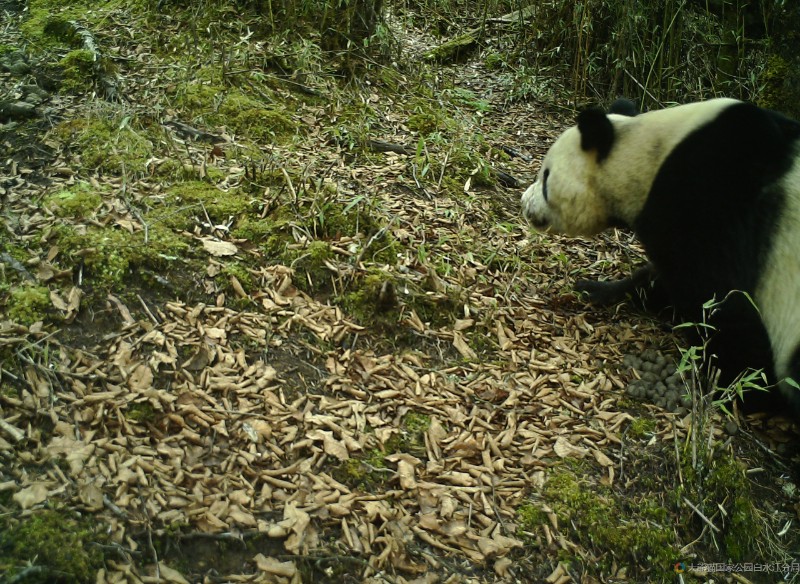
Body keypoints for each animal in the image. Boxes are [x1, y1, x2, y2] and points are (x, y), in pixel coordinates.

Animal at [520, 99, 800, 410]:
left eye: (546, 177)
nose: (524, 201)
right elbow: (661, 281)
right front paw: (594, 288)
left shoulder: (705, 198)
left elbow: (717, 296)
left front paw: (737, 383)